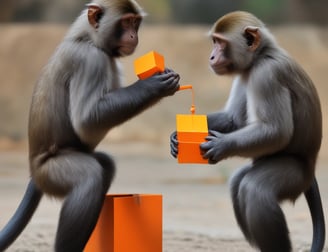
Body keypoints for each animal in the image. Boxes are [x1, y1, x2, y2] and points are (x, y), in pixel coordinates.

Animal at [0, 0, 179, 252]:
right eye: (126, 22)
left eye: (136, 22)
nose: (134, 35)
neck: (87, 39)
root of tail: (34, 171)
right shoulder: (90, 60)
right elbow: (87, 120)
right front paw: (154, 86)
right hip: (50, 171)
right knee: (89, 177)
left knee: (104, 165)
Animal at [172, 11, 326, 252]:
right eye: (213, 41)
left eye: (220, 43)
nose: (211, 57)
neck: (260, 57)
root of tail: (310, 169)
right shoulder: (244, 73)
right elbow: (234, 120)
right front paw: (176, 138)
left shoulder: (266, 75)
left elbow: (277, 131)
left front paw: (221, 145)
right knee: (238, 182)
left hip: (295, 173)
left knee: (254, 189)